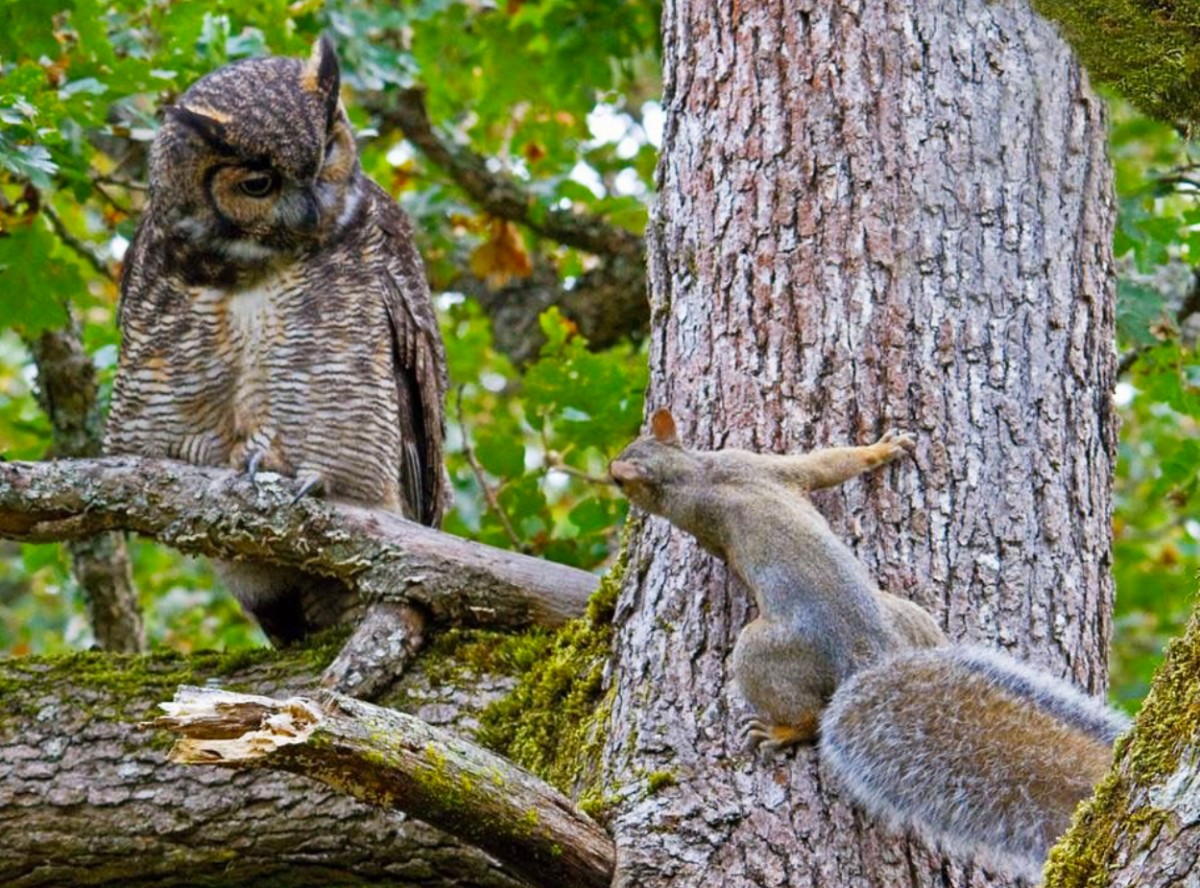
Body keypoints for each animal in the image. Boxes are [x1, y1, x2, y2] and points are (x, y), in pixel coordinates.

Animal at [614, 410, 1128, 883]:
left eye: (620, 478)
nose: (612, 477)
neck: (695, 471)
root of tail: (867, 653)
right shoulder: (761, 465)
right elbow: (824, 465)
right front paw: (881, 450)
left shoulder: (708, 509)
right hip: (908, 614)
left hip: (760, 650)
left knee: (807, 714)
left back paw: (782, 731)